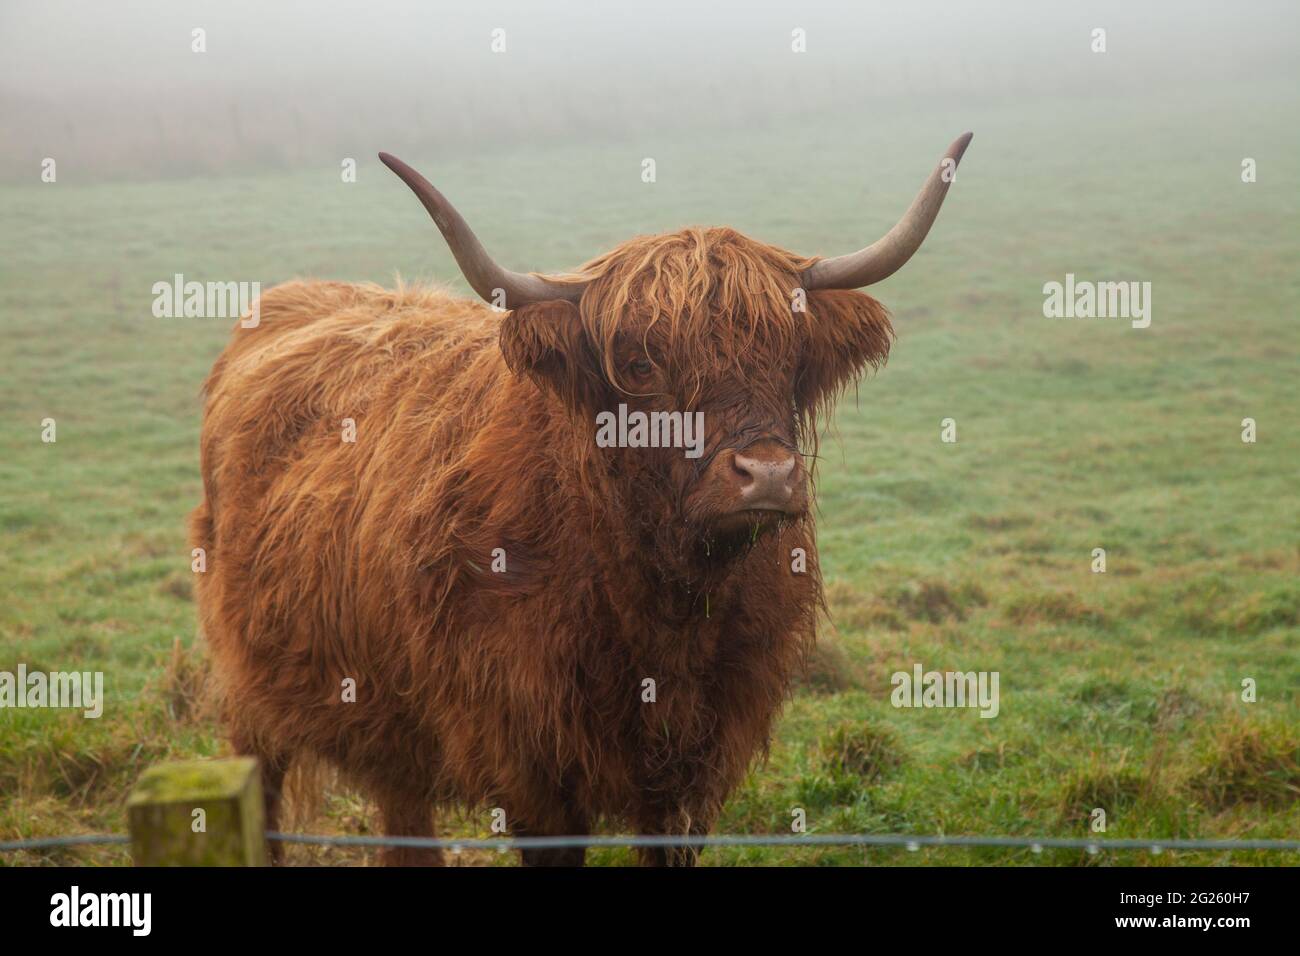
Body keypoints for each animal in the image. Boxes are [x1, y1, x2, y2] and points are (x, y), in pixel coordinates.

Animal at [189, 132, 972, 865]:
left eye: (791, 358)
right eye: (640, 365)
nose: (769, 474)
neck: (661, 608)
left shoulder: (695, 770)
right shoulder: (531, 769)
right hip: (252, 685)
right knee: (264, 791)